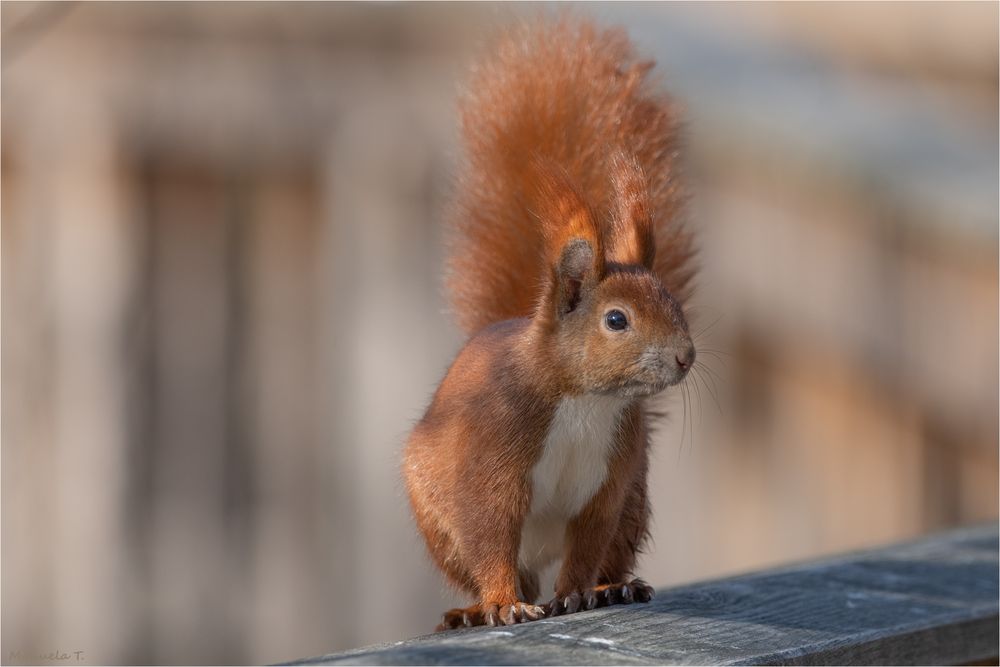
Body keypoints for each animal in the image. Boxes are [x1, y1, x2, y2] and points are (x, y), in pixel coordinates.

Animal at [402, 15, 700, 632]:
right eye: (616, 319)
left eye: (674, 302)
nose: (686, 356)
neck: (586, 400)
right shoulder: (490, 458)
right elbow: (491, 532)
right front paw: (500, 603)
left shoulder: (608, 484)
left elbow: (588, 542)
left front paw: (579, 595)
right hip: (435, 515)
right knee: (497, 563)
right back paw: (476, 607)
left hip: (635, 501)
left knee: (607, 550)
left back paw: (614, 587)